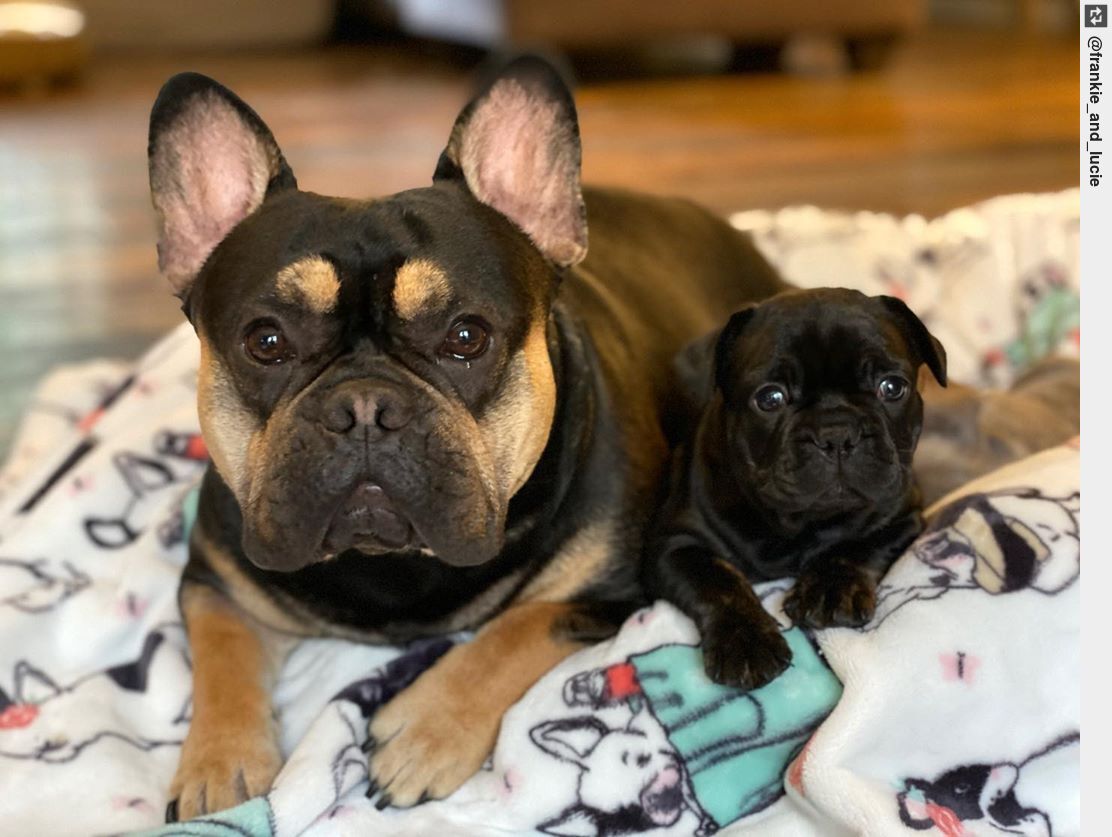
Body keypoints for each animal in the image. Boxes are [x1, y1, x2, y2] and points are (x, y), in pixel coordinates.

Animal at [644, 291, 947, 689]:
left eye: (892, 388)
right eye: (770, 398)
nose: (837, 433)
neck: (800, 524)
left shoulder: (903, 517)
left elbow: (856, 547)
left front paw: (830, 589)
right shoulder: (675, 546)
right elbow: (717, 583)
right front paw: (746, 641)